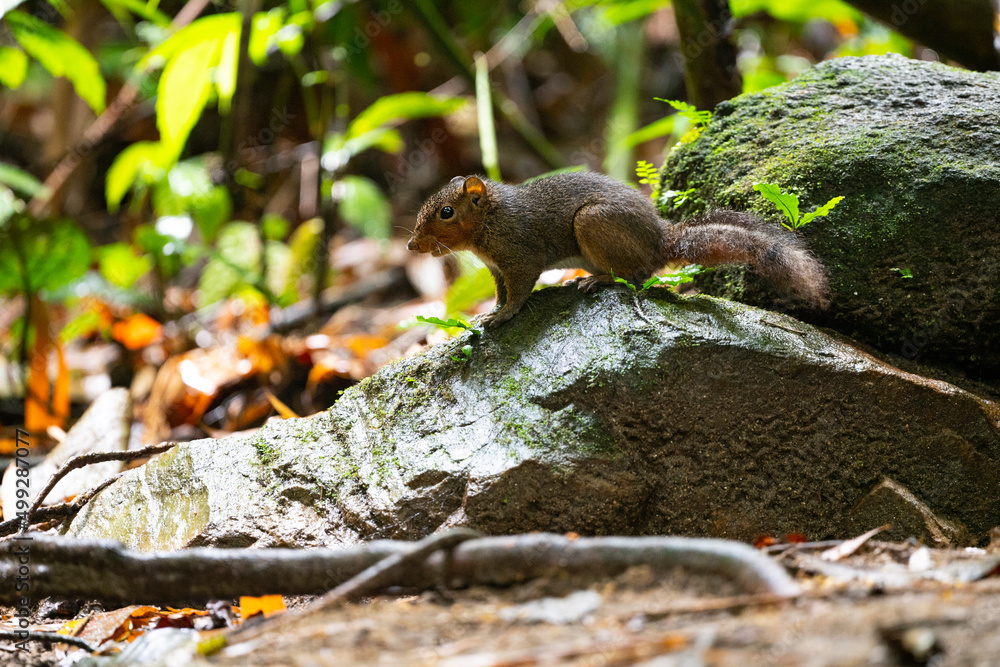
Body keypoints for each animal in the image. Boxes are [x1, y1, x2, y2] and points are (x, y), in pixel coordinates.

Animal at [407, 172, 827, 328]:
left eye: (446, 212)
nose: (412, 244)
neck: (491, 220)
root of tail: (660, 240)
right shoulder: (497, 268)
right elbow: (500, 291)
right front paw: (491, 310)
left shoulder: (520, 254)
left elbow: (521, 290)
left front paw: (505, 315)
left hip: (592, 223)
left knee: (636, 275)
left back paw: (598, 280)